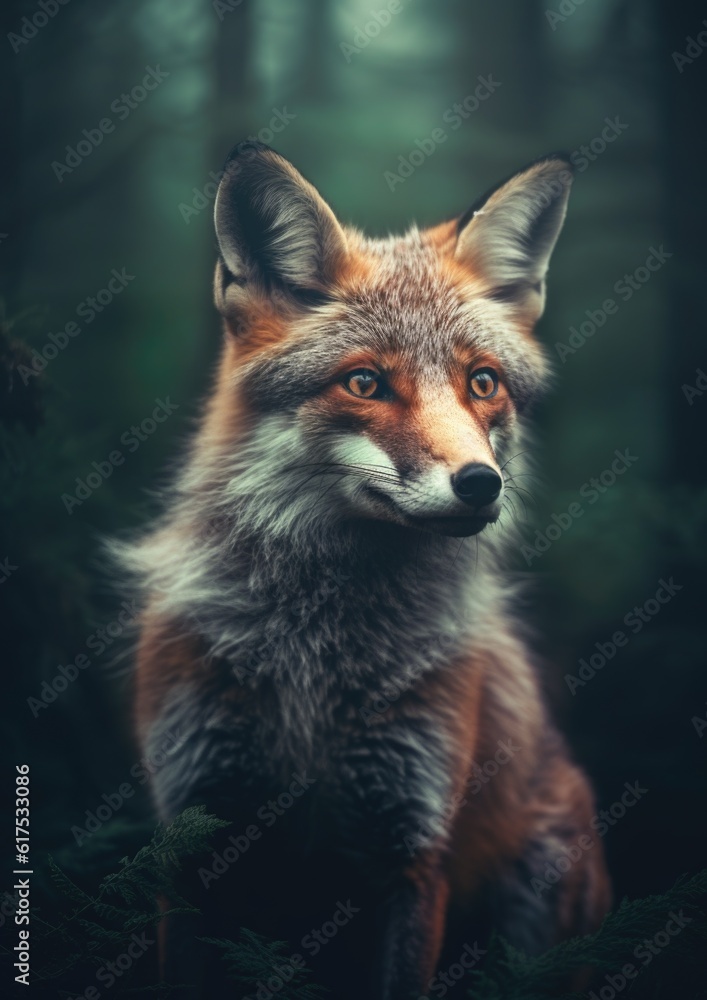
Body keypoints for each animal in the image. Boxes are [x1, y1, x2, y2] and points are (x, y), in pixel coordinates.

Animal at [122, 141, 611, 999]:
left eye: (482, 382)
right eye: (364, 382)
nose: (480, 483)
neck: (314, 672)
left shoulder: (410, 849)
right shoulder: (191, 833)